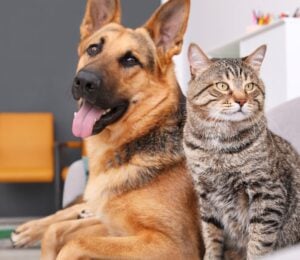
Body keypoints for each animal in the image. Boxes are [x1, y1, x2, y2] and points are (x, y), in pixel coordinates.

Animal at [11, 0, 202, 258]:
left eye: (130, 60)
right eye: (93, 49)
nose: (83, 81)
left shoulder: (175, 245)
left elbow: (74, 243)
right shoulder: (114, 227)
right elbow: (56, 232)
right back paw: (28, 229)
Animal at [184, 43, 300, 258]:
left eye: (249, 86)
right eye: (222, 86)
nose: (241, 100)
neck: (219, 145)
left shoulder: (267, 191)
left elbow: (259, 241)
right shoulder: (206, 196)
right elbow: (211, 236)